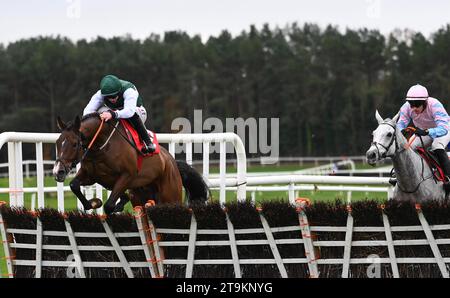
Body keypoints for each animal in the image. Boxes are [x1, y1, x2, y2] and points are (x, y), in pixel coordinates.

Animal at [52, 112, 209, 214]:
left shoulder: (127, 176)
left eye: (74, 144)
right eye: (58, 142)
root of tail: (172, 162)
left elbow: (109, 205)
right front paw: (94, 202)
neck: (101, 146)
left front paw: (110, 204)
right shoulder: (93, 176)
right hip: (141, 195)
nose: (58, 171)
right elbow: (74, 185)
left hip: (170, 195)